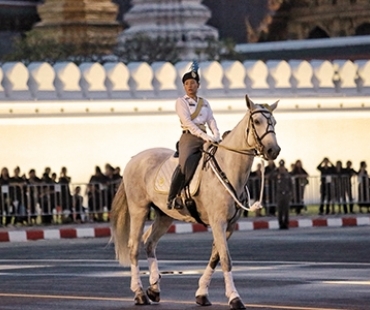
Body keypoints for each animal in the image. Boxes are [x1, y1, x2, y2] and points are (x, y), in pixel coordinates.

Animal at [110, 95, 280, 310]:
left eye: (274, 122)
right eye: (257, 121)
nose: (274, 150)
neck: (228, 168)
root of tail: (133, 159)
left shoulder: (230, 225)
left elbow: (216, 257)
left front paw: (201, 294)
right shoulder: (218, 222)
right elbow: (226, 259)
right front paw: (234, 297)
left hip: (165, 216)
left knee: (149, 242)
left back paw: (154, 288)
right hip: (138, 209)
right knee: (133, 247)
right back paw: (140, 293)